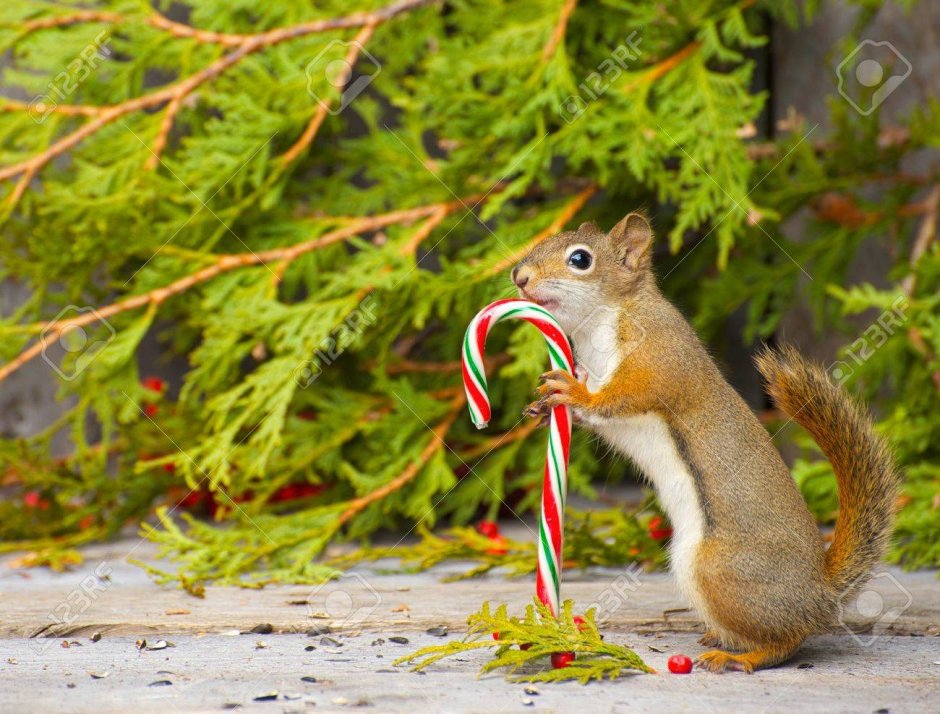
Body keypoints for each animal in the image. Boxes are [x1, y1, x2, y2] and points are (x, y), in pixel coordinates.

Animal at [516, 214, 904, 672]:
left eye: (580, 259)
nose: (519, 277)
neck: (602, 323)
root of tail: (820, 596)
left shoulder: (661, 356)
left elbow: (626, 394)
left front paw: (573, 393)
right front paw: (543, 406)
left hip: (718, 568)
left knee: (789, 639)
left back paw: (742, 656)